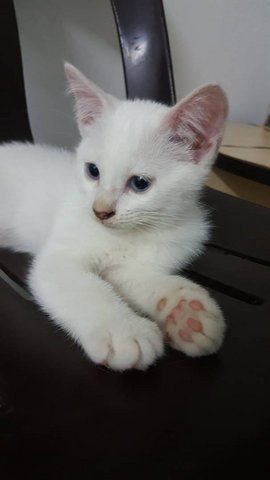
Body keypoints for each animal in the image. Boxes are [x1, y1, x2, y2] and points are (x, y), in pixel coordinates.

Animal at [0, 63, 228, 372]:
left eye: (140, 183)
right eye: (93, 171)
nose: (100, 211)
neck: (132, 235)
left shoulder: (137, 263)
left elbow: (141, 279)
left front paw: (185, 310)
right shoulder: (58, 260)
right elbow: (86, 287)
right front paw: (123, 330)